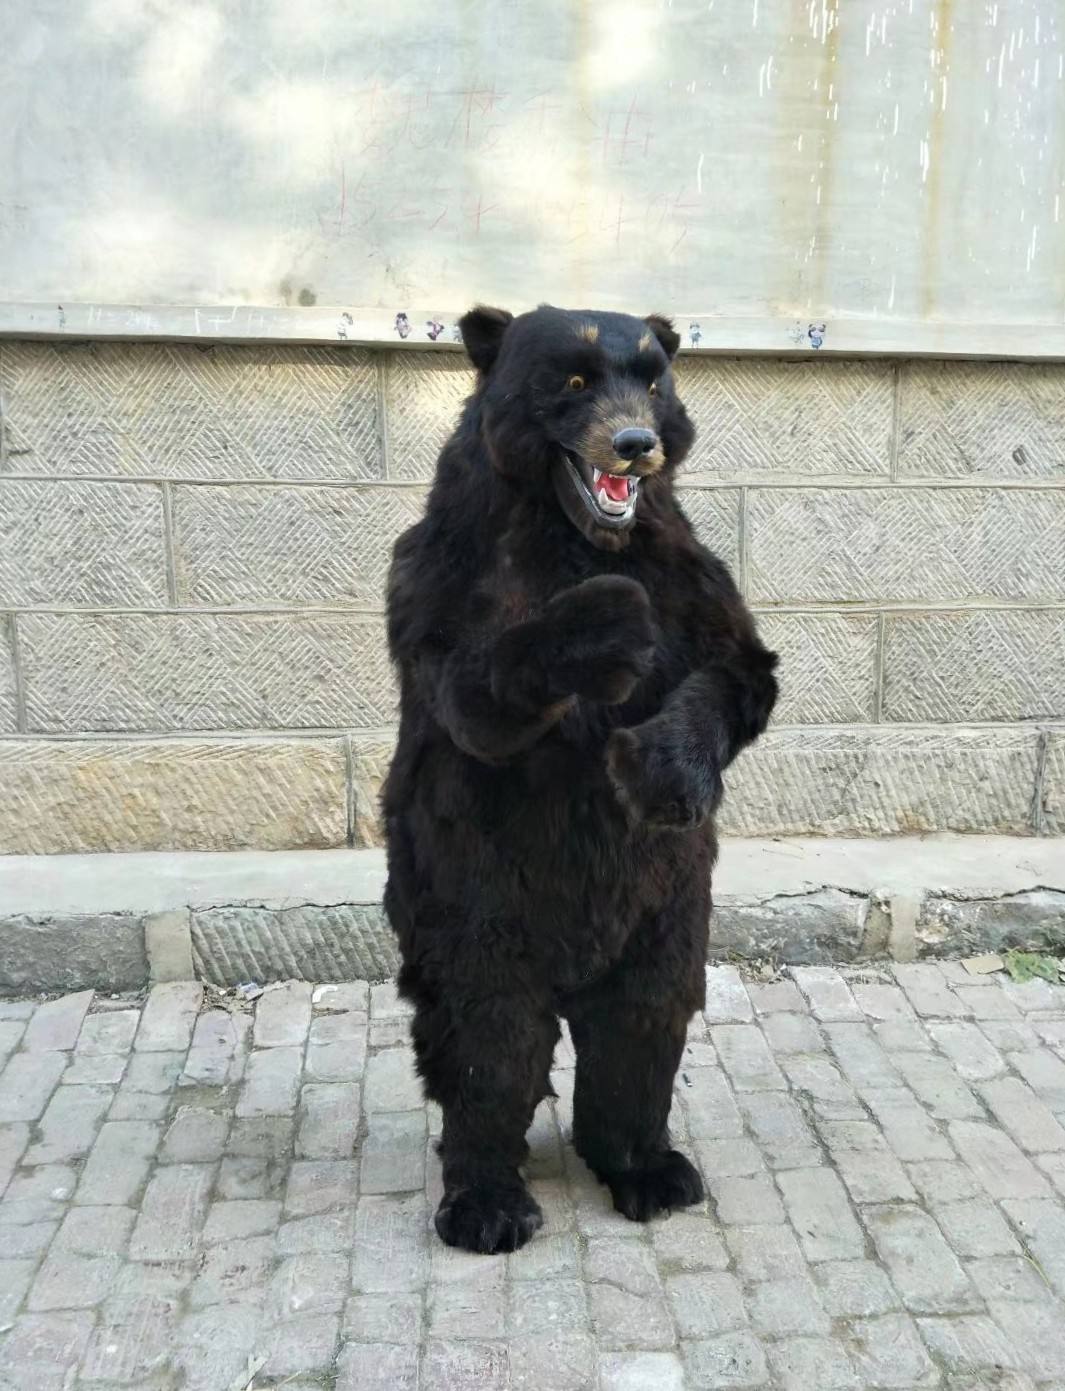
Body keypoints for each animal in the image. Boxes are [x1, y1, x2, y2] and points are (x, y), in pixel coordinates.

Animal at [382, 304, 778, 1254]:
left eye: (651, 378)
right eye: (570, 378)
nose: (635, 444)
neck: (575, 532)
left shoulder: (688, 576)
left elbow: (734, 675)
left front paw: (657, 768)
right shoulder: (450, 577)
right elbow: (479, 691)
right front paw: (604, 619)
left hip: (667, 908)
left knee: (643, 1020)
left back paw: (647, 1167)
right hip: (475, 901)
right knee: (487, 1041)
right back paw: (486, 1201)